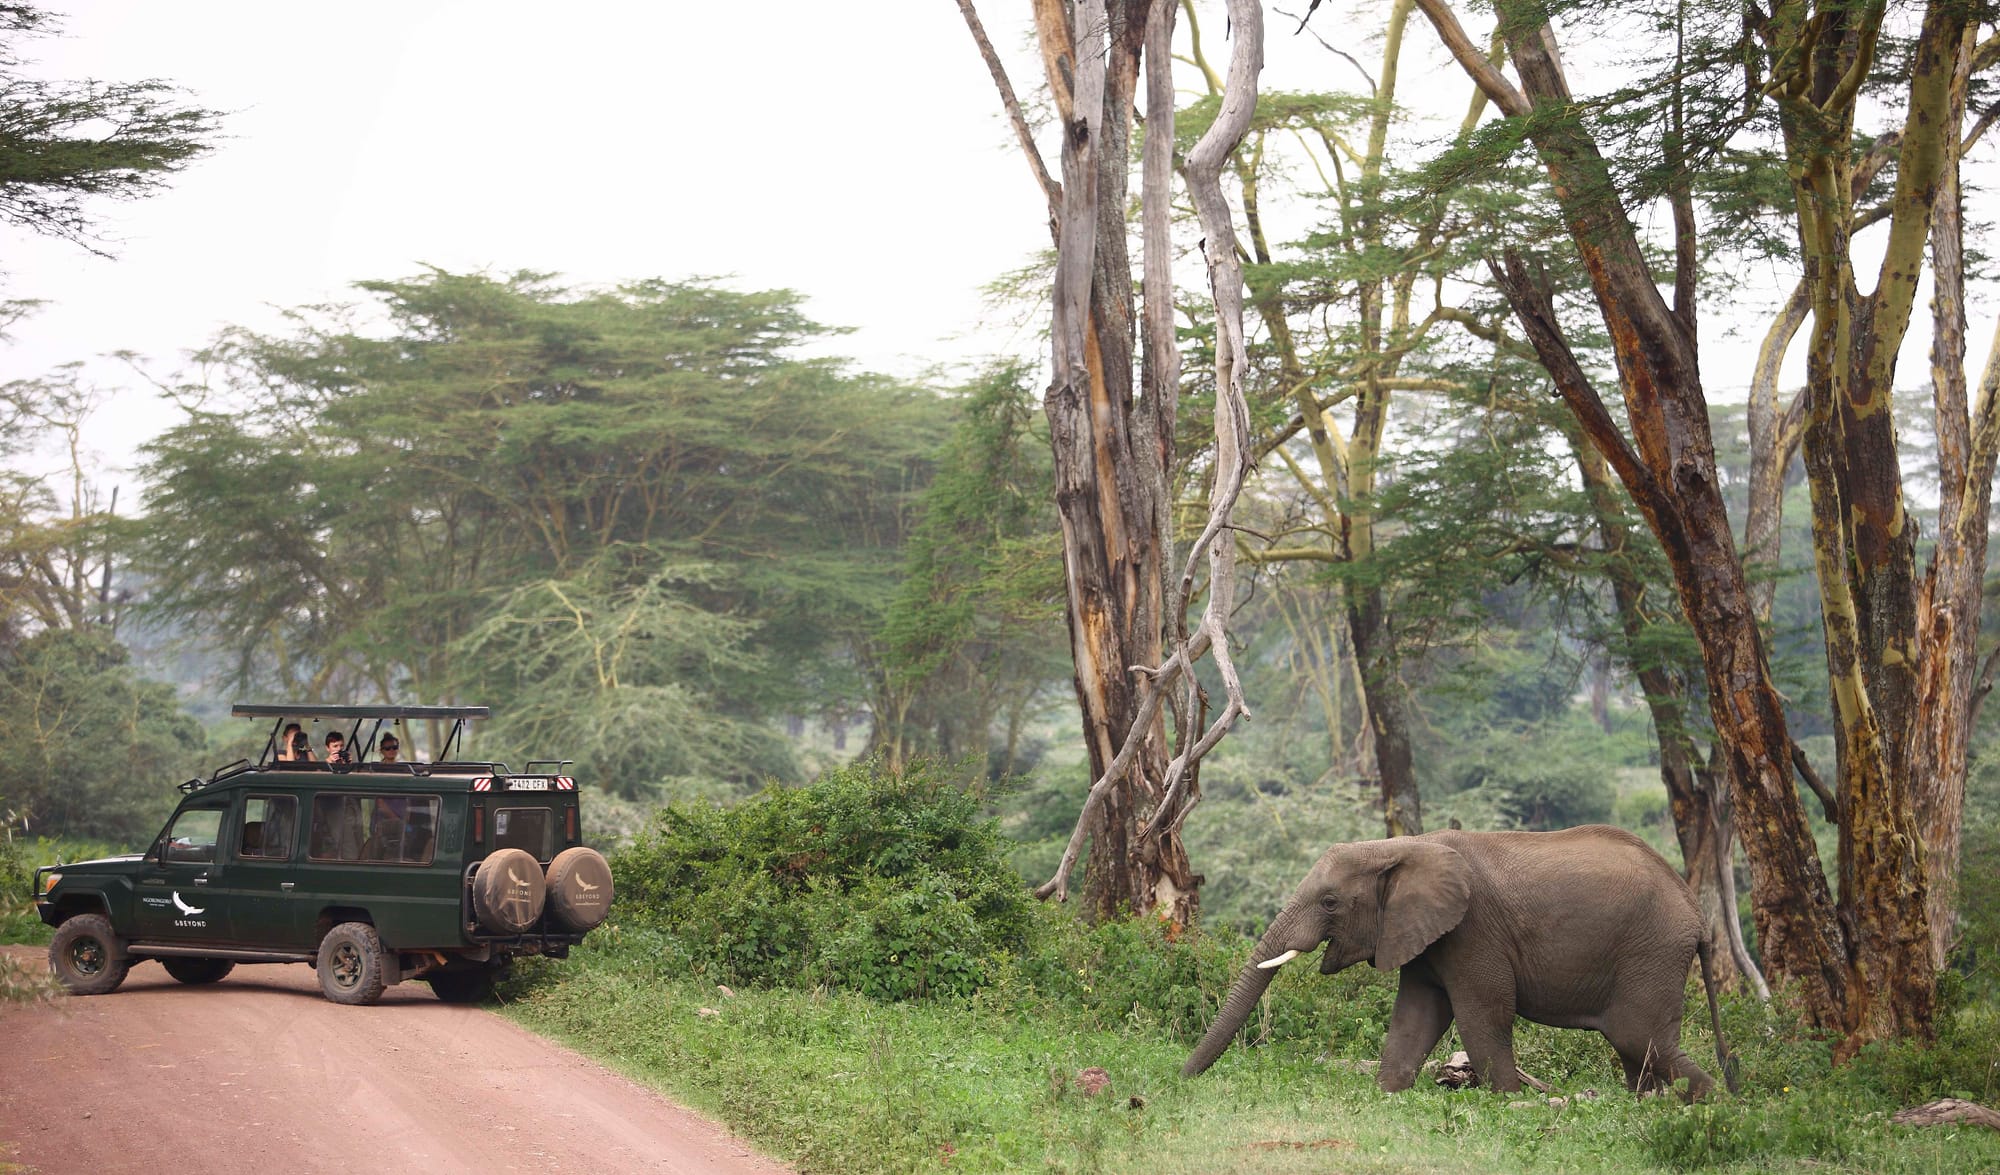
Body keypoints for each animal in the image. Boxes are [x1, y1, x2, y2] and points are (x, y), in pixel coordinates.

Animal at [1184, 827, 1736, 1103]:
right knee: (1638, 1051)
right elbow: (1418, 1014)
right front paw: (1387, 1095)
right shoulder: (1423, 933)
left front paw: (1509, 1104)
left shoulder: (1474, 929)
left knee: (1638, 1038)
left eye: (1329, 903)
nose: (1179, 1079)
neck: (1398, 845)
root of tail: (1696, 915)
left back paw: (1719, 1110)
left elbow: (1481, 1013)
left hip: (1652, 951)